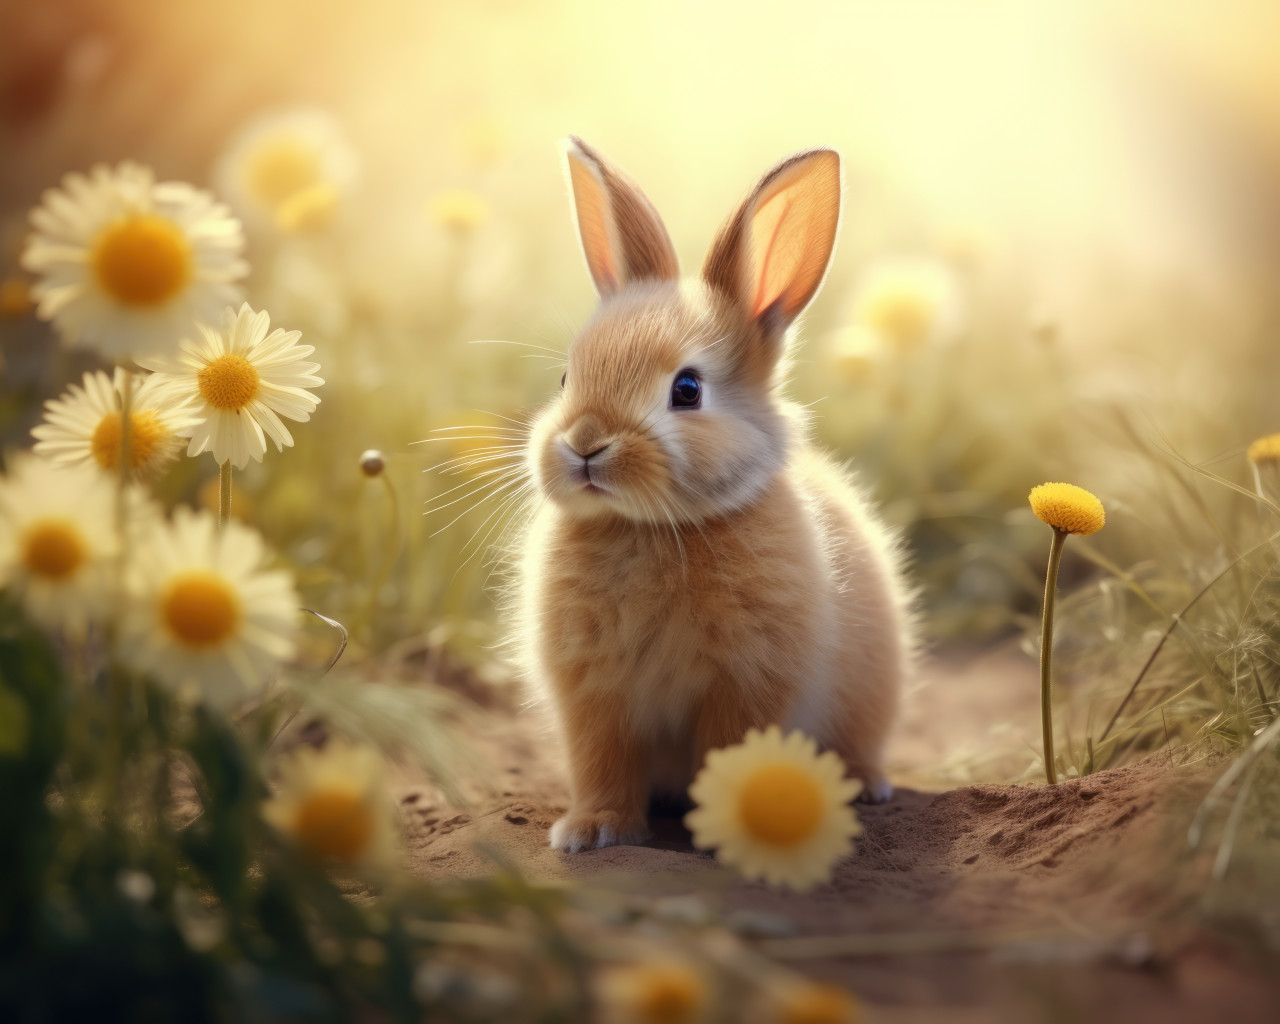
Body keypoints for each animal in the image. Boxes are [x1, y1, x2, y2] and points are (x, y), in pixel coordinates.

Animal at [513, 137, 914, 853]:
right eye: (565, 378)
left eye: (688, 390)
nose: (585, 443)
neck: (648, 526)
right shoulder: (594, 695)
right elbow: (601, 761)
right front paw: (591, 831)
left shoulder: (746, 684)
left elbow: (730, 752)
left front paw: (728, 827)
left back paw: (865, 785)